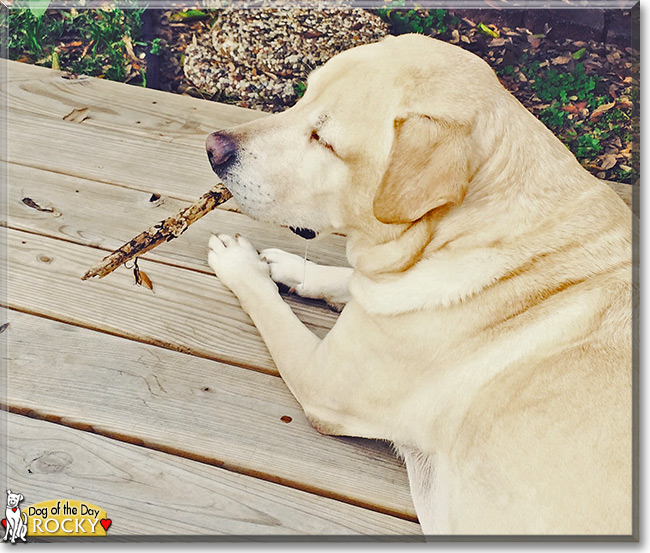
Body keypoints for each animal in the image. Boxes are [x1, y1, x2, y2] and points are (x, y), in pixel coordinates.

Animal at [205, 34, 632, 536]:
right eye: (303, 97)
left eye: (325, 141)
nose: (213, 148)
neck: (468, 232)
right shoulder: (384, 289)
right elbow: (348, 280)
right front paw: (291, 267)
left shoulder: (321, 384)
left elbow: (274, 308)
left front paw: (241, 265)